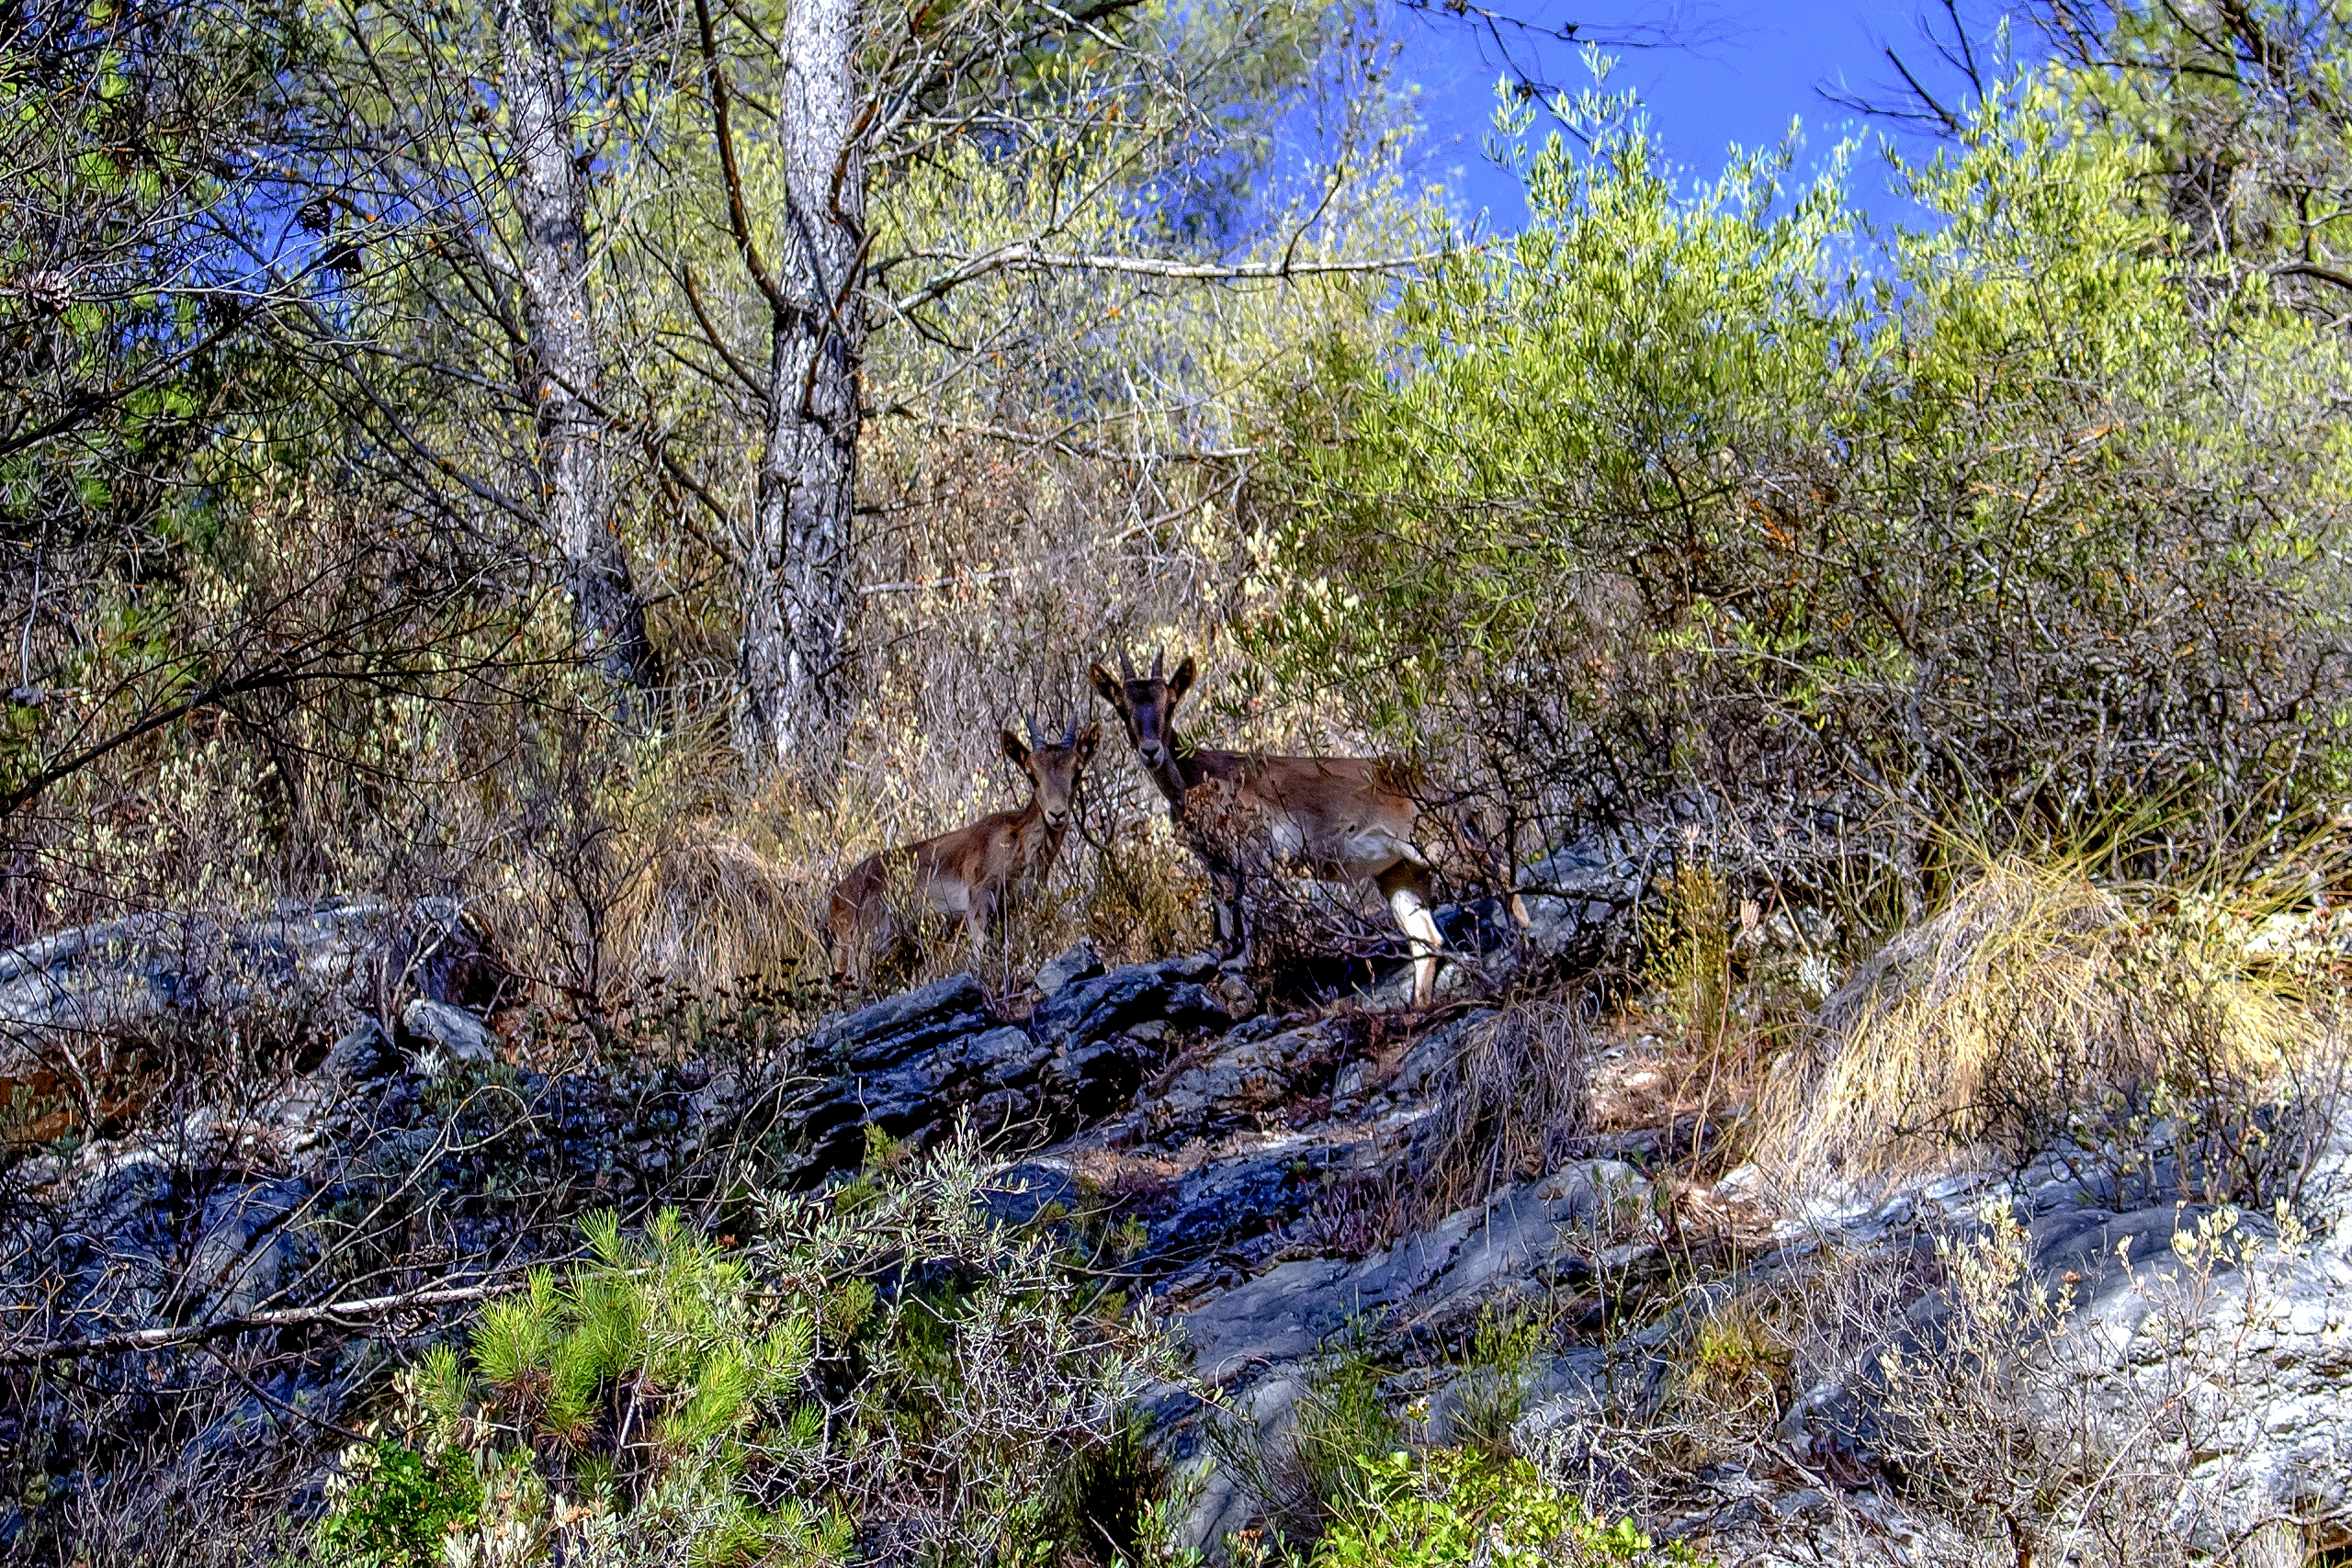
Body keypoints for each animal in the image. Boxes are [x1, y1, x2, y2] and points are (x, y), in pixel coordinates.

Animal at [826, 716, 1097, 990]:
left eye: (1077, 770)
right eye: (1031, 774)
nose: (1057, 814)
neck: (1015, 842)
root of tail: (837, 900)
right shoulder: (979, 901)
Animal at [1090, 649, 1448, 1006]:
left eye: (1170, 702)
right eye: (1122, 707)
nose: (1151, 751)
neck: (1196, 779)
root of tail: (1425, 780)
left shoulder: (1253, 851)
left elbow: (1246, 904)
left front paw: (1240, 963)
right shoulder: (1213, 859)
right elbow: (1222, 900)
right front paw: (1220, 953)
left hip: (1437, 847)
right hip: (1398, 872)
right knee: (1426, 940)